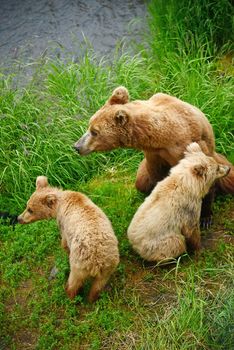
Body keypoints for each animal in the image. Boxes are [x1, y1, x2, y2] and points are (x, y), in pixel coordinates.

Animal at [74, 86, 234, 226]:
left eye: (94, 132)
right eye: (89, 125)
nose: (76, 146)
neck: (161, 137)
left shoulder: (187, 147)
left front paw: (205, 218)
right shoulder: (154, 155)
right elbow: (156, 176)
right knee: (141, 182)